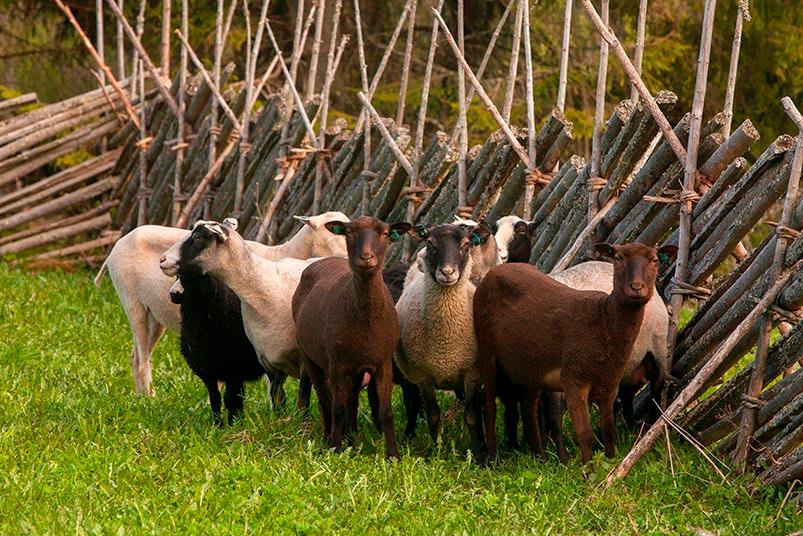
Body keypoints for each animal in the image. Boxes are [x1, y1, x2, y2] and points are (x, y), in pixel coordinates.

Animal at [292, 216, 412, 458]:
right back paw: (329, 437)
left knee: (352, 399)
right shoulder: (337, 363)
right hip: (312, 358)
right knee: (324, 399)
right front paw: (336, 449)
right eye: (348, 233)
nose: (366, 258)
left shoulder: (383, 362)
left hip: (356, 368)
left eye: (385, 233)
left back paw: (352, 436)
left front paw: (393, 455)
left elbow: (385, 412)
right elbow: (337, 407)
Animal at [474, 241, 676, 462]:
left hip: (655, 355)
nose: (637, 288)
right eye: (618, 258)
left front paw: (560, 456)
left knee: (653, 394)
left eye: (655, 260)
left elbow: (551, 415)